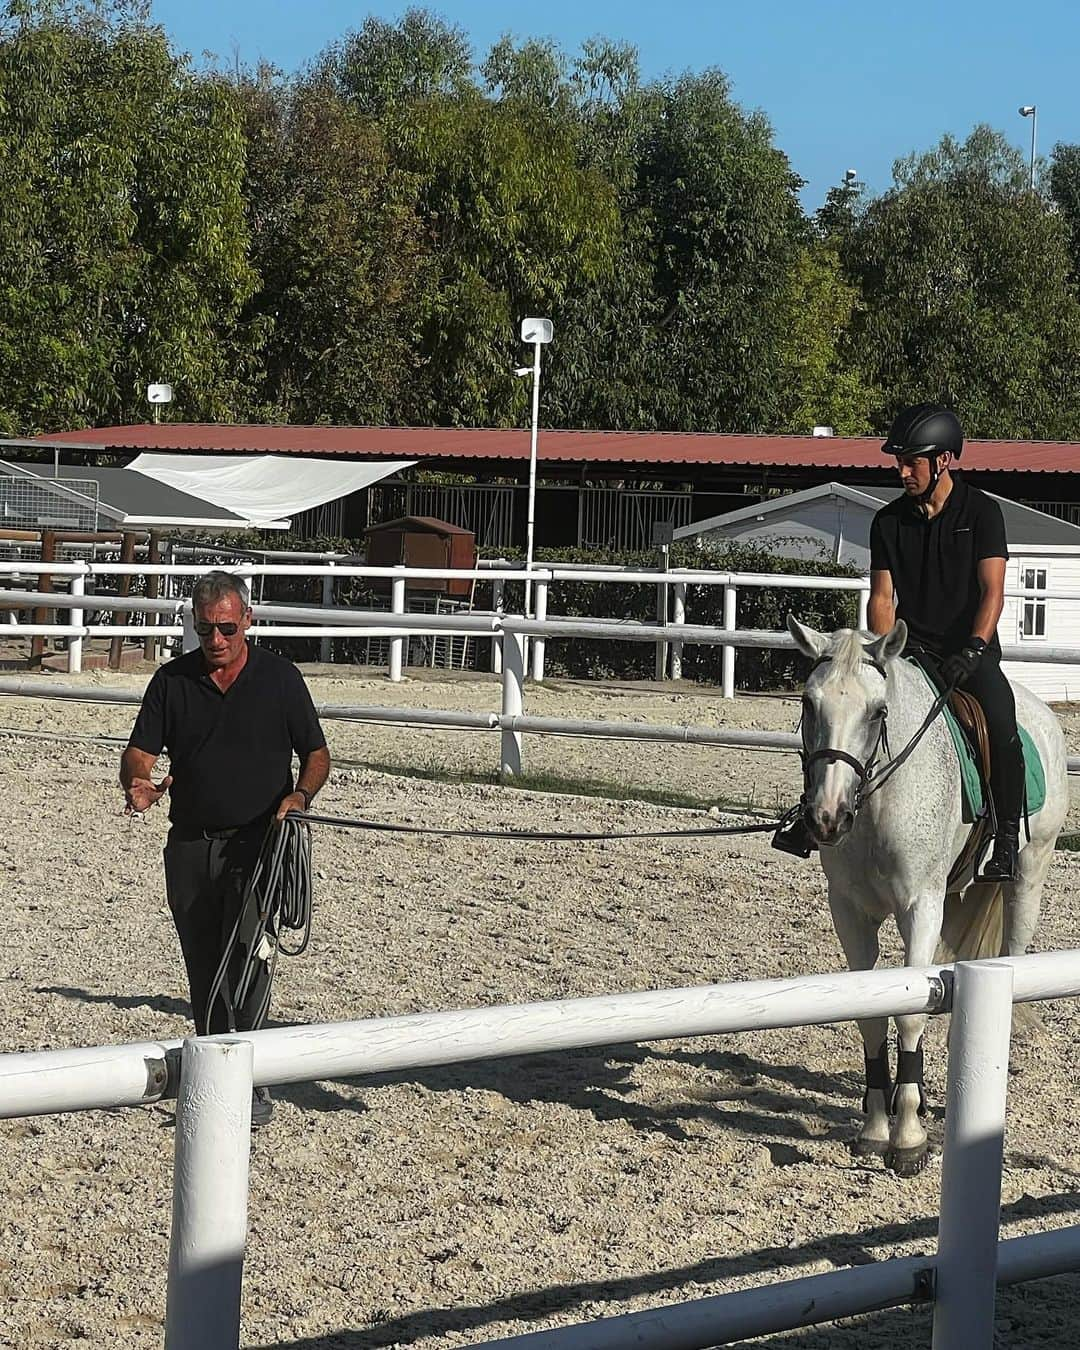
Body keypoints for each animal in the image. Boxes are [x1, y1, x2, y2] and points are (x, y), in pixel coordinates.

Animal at [788, 618, 1069, 1177]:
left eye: (878, 712)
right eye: (809, 704)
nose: (827, 818)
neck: (877, 802)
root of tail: (1043, 714)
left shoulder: (921, 907)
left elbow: (910, 1011)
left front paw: (909, 1137)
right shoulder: (849, 912)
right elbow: (870, 1011)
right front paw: (877, 1127)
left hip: (1027, 878)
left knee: (1015, 958)